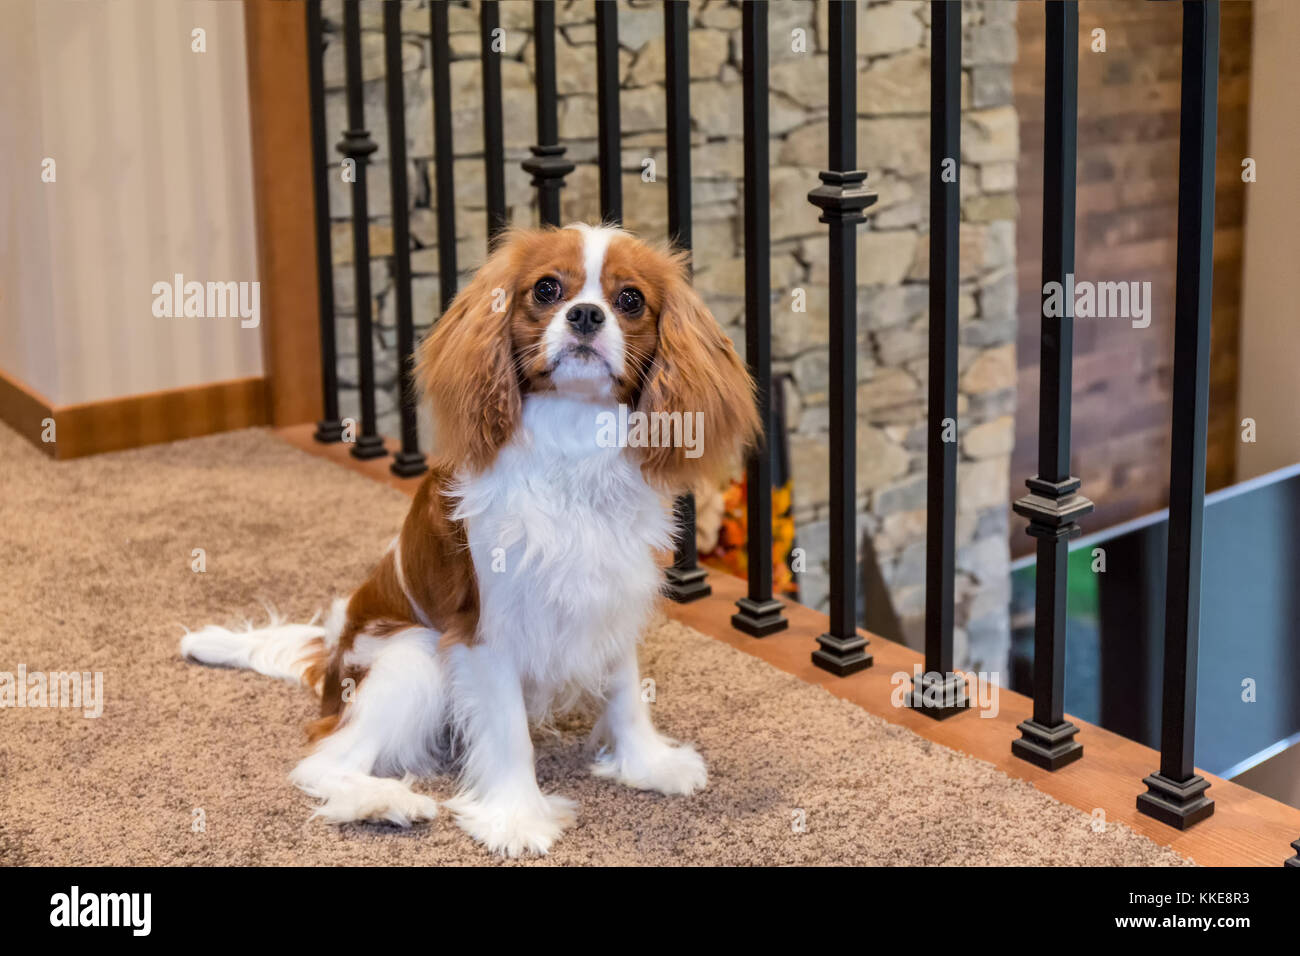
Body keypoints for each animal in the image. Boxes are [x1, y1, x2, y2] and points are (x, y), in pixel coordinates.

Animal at [178, 226, 759, 858]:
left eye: (629, 299)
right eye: (547, 289)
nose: (585, 314)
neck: (572, 444)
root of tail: (331, 651)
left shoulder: (613, 597)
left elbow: (628, 691)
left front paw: (647, 764)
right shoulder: (486, 629)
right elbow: (508, 732)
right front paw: (517, 818)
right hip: (413, 655)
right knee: (323, 761)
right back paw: (387, 801)